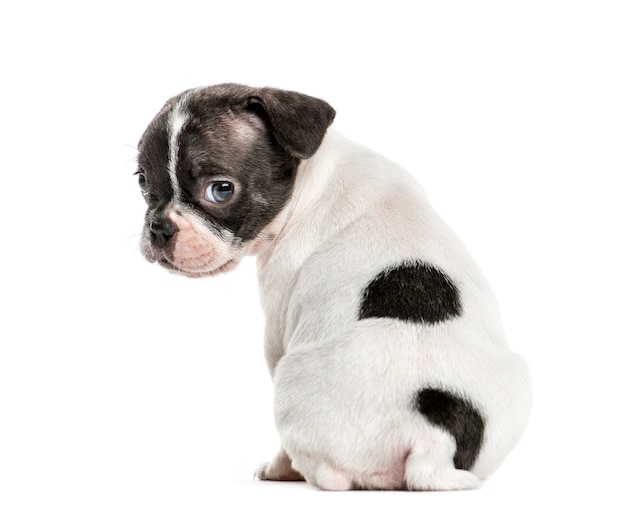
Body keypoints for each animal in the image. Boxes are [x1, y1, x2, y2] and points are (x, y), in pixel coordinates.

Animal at [134, 84, 528, 492]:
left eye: (221, 190)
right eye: (142, 182)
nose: (158, 228)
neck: (313, 180)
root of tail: (433, 439)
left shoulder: (278, 326)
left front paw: (276, 468)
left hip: (293, 383)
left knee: (328, 473)